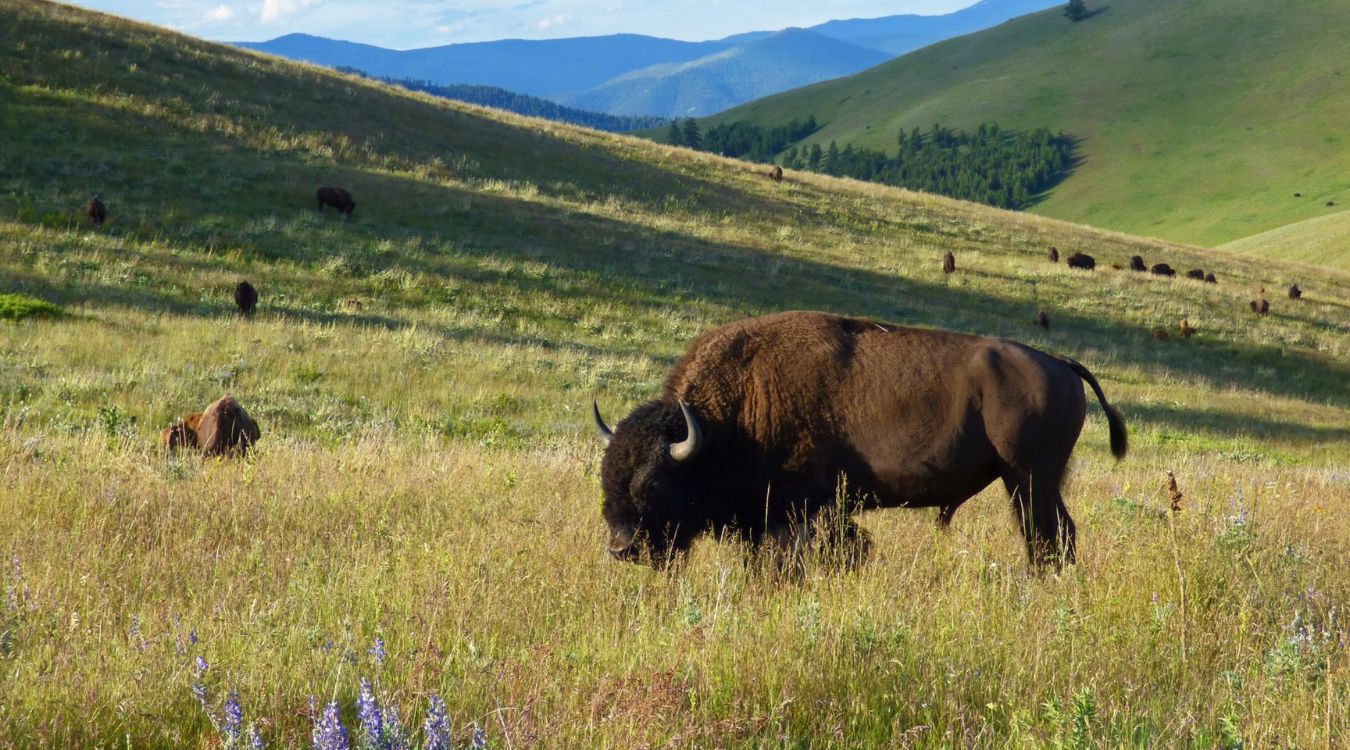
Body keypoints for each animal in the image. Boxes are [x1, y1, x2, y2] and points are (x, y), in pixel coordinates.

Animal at [593, 311, 1127, 570]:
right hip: (1031, 482)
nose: (621, 548)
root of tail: (1060, 364)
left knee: (1048, 536)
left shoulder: (798, 511)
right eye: (606, 483)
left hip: (1029, 479)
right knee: (1054, 535)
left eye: (654, 484)